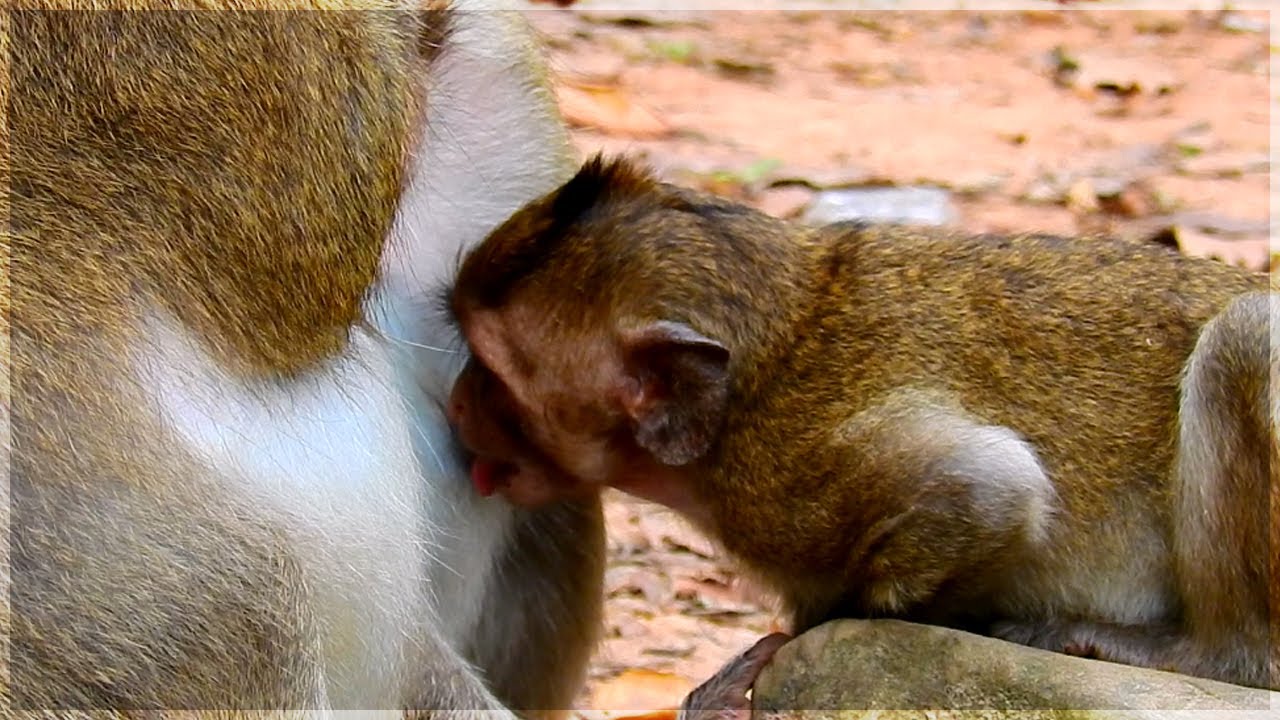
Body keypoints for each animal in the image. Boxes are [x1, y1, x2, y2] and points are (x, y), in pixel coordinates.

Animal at [446, 153, 1278, 693]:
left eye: (490, 373)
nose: (454, 403)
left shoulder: (782, 481)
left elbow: (991, 488)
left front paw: (805, 634)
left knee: (1245, 337)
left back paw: (1219, 655)